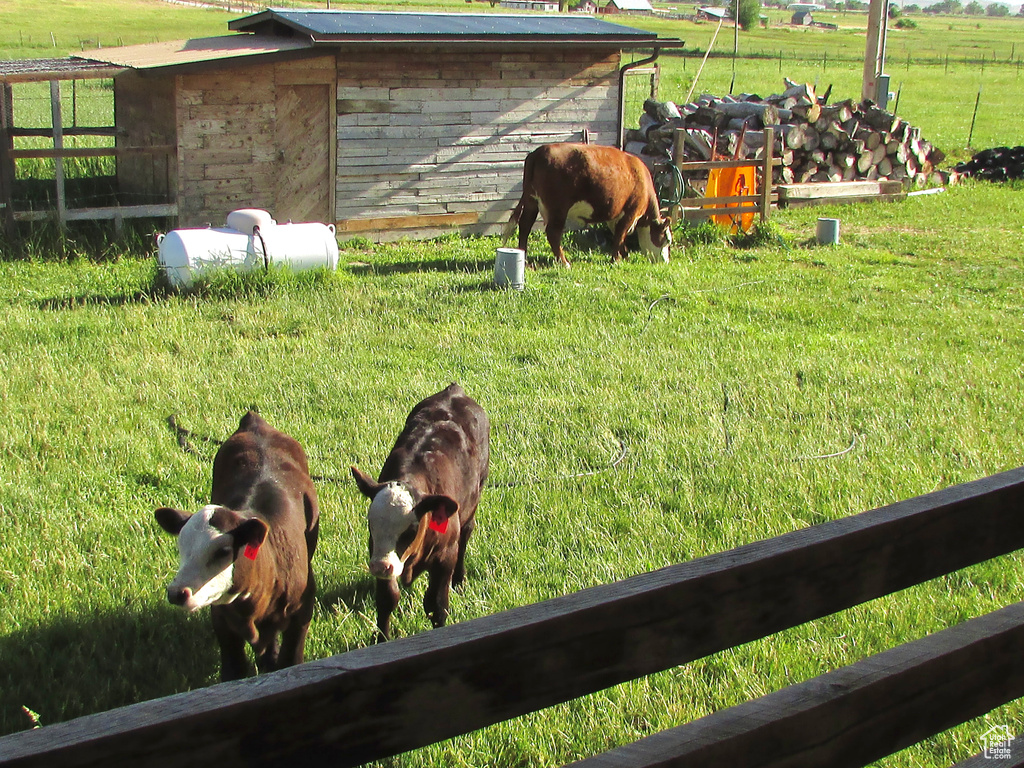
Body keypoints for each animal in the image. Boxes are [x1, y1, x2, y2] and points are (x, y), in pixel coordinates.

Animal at [152, 411, 315, 684]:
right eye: (181, 547)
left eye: (223, 552)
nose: (177, 593)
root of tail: (255, 421)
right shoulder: (222, 621)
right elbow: (233, 672)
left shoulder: (301, 612)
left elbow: (291, 663)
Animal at [350, 385, 489, 643]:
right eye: (371, 524)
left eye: (411, 529)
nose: (381, 567)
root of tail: (454, 390)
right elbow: (387, 600)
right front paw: (382, 640)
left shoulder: (445, 557)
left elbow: (437, 605)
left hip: (473, 503)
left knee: (466, 535)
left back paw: (460, 579)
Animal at [503, 143, 671, 268]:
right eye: (666, 240)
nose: (665, 261)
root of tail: (538, 152)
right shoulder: (631, 212)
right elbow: (620, 235)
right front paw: (616, 260)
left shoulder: (615, 216)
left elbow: (619, 235)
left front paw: (624, 255)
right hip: (558, 207)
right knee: (552, 233)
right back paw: (564, 262)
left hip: (532, 200)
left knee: (525, 225)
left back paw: (524, 256)